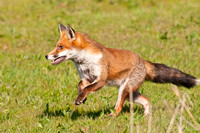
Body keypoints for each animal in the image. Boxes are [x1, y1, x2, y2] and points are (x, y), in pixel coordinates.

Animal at [45, 23, 200, 116]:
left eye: (60, 47)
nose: (46, 55)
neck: (84, 61)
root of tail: (143, 60)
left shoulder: (101, 80)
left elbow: (88, 88)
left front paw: (81, 97)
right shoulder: (86, 77)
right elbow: (81, 86)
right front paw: (81, 98)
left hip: (124, 90)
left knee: (119, 107)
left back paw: (111, 116)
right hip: (131, 93)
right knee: (146, 100)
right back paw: (146, 116)